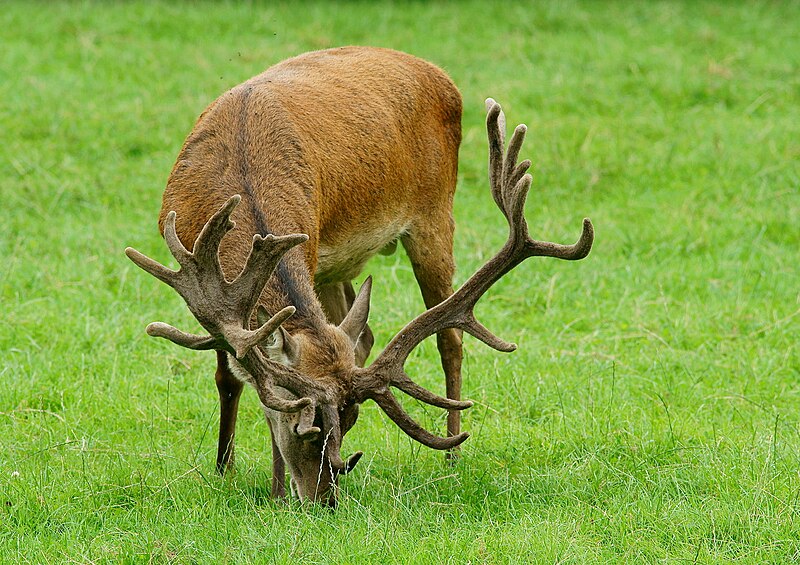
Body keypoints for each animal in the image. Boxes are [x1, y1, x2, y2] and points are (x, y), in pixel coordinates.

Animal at [126, 47, 592, 506]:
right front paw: (226, 469)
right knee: (361, 333)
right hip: (335, 264)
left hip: (435, 211)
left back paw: (453, 453)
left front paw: (275, 492)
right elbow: (230, 376)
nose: (324, 499)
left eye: (347, 424)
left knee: (450, 339)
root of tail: (436, 72)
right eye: (305, 428)